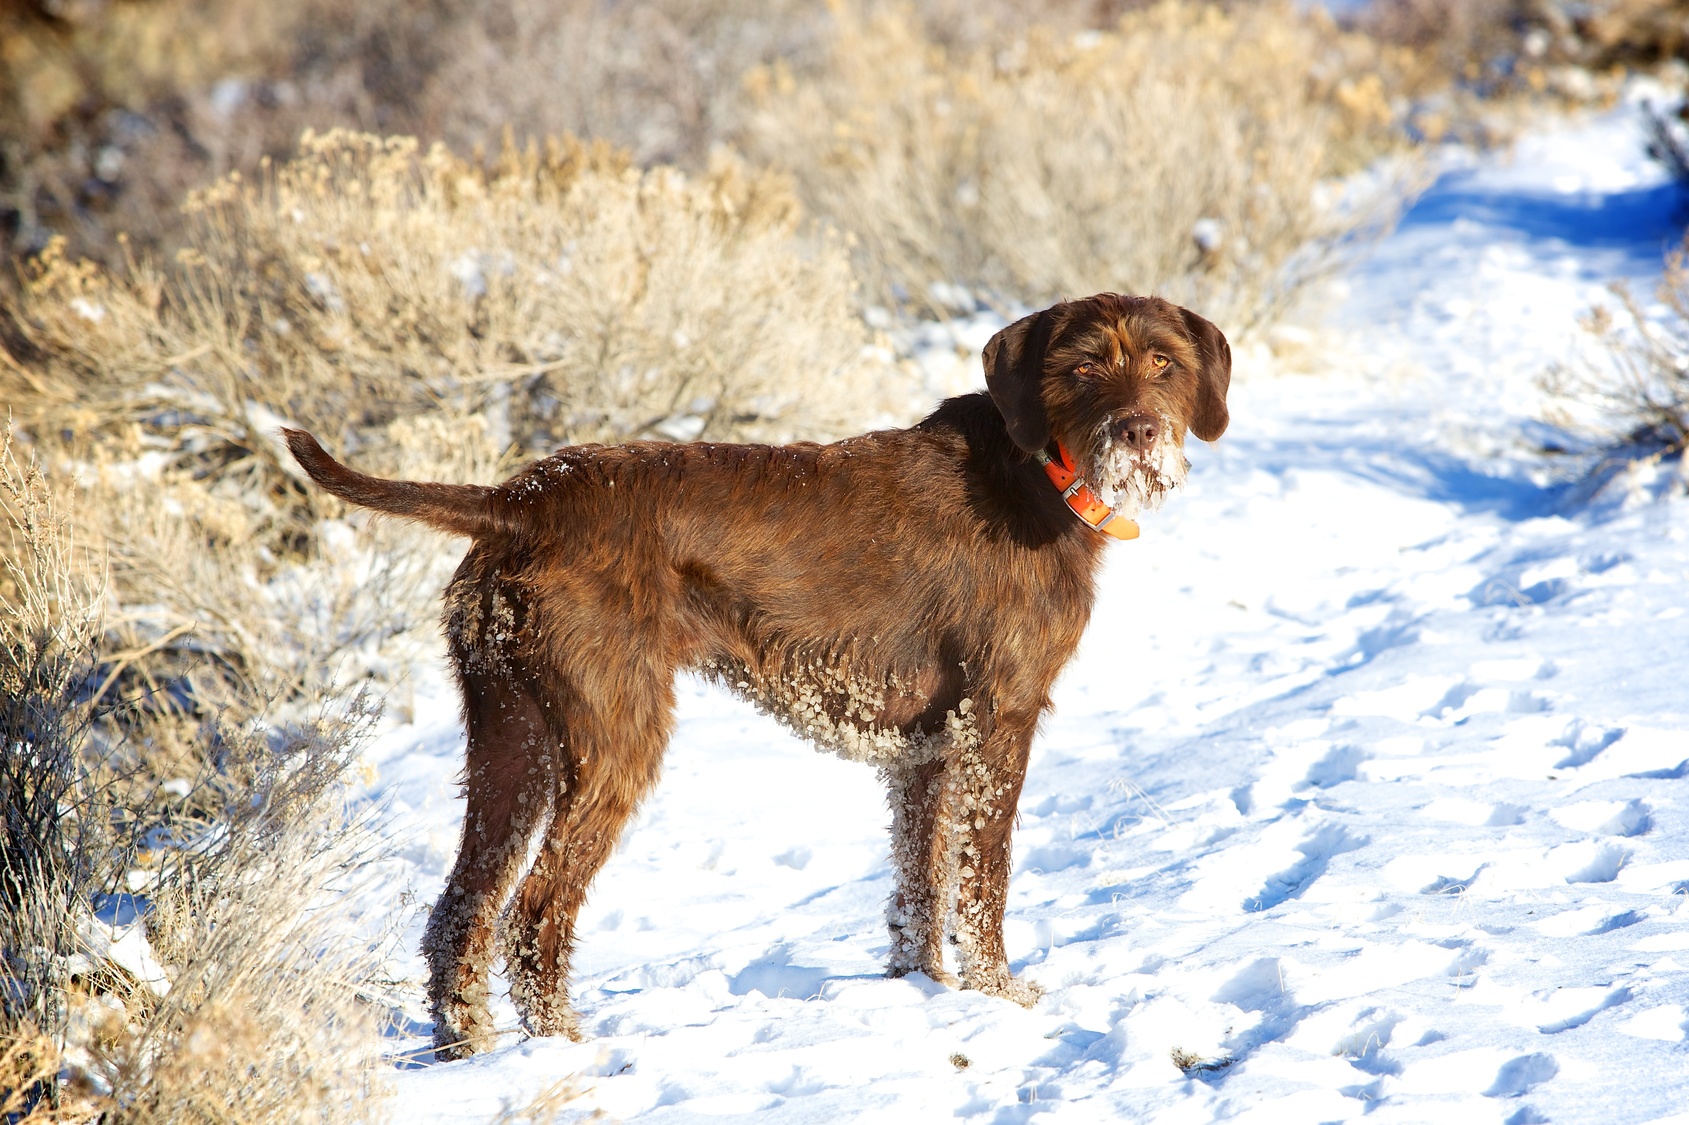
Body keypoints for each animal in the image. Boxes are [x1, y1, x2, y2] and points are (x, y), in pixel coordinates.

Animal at [287, 288, 1229, 1054]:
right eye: (1082, 367)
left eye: (1163, 362)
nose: (1139, 432)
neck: (1040, 469)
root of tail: (518, 501)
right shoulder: (998, 721)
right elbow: (980, 878)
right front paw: (999, 996)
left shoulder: (926, 751)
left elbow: (920, 884)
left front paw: (925, 991)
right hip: (614, 740)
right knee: (535, 912)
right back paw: (566, 1050)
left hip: (507, 742)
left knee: (460, 911)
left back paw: (469, 1050)